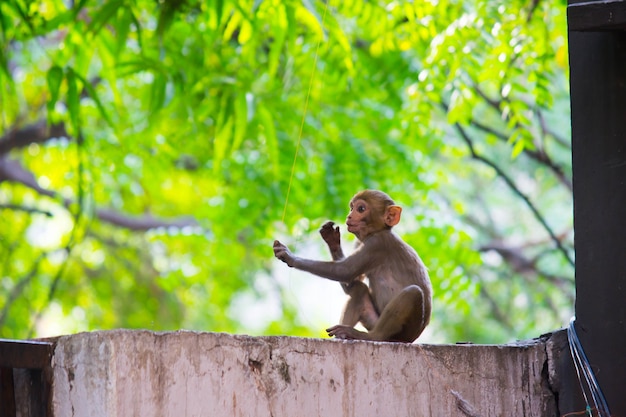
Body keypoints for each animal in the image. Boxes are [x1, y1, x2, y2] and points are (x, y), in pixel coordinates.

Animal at [272, 188, 428, 342]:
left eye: (361, 209)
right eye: (352, 208)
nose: (349, 216)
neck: (378, 231)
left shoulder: (377, 244)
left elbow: (344, 271)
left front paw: (290, 257)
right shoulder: (360, 242)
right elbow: (352, 281)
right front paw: (332, 241)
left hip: (404, 333)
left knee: (413, 292)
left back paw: (370, 336)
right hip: (373, 321)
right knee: (359, 290)